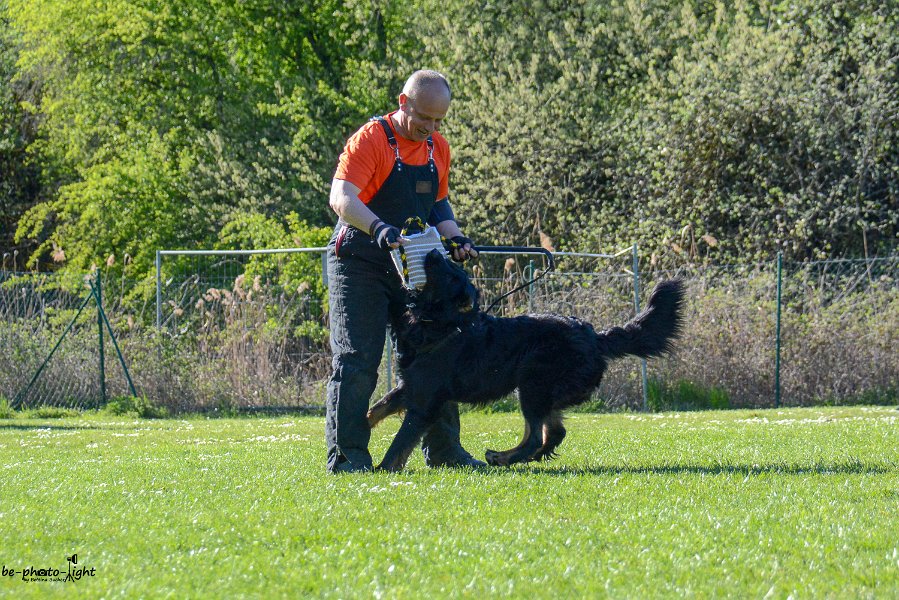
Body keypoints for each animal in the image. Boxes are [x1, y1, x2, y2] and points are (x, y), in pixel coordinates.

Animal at [367, 249, 685, 471]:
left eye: (450, 272)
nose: (434, 252)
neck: (440, 321)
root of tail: (596, 336)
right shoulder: (409, 386)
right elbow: (375, 408)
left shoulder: (424, 399)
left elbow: (401, 441)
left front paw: (382, 468)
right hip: (541, 390)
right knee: (552, 433)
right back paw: (525, 457)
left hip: (533, 383)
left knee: (535, 435)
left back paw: (502, 457)